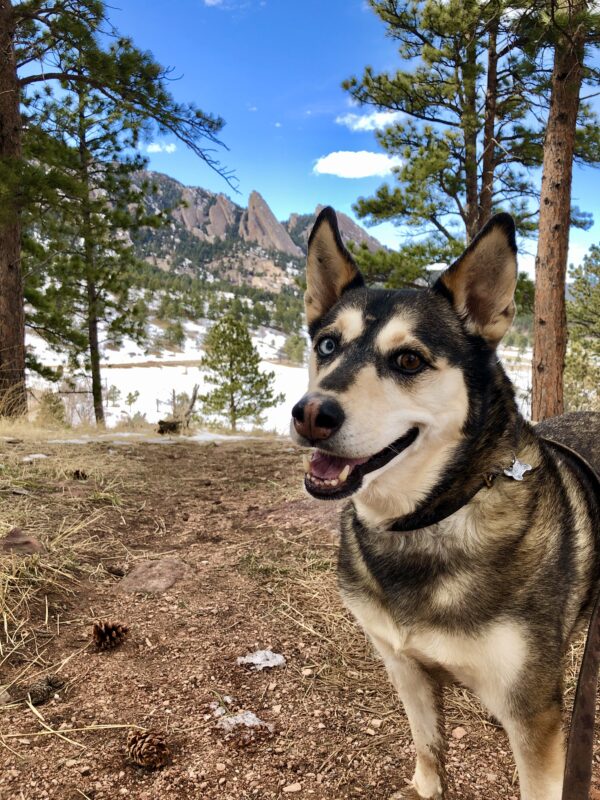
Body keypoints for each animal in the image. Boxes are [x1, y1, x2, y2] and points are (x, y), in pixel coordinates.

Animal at [290, 208, 600, 800]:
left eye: (409, 360)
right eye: (327, 346)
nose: (311, 414)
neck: (428, 519)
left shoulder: (534, 718)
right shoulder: (402, 666)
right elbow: (427, 747)